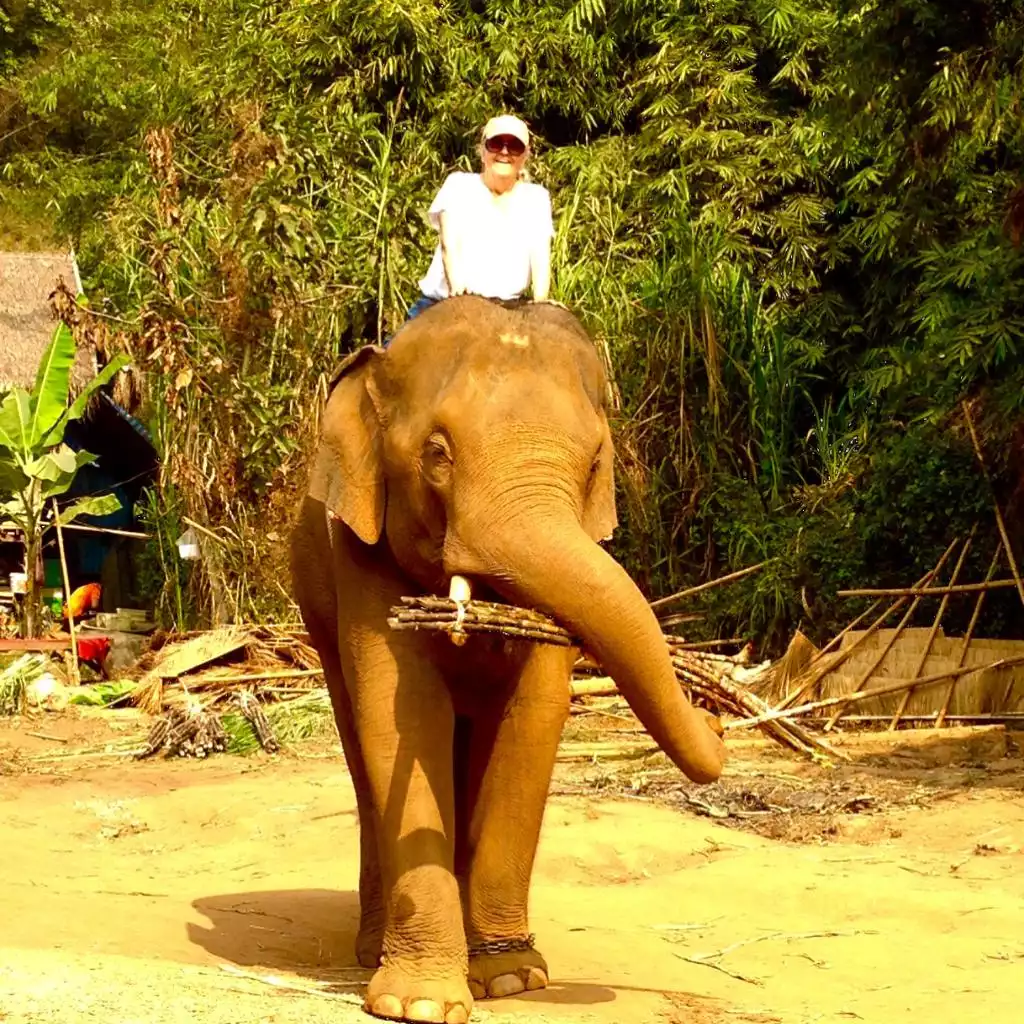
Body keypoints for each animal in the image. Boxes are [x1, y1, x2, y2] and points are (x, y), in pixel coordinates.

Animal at [289, 295, 726, 1024]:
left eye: (594, 463)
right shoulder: (358, 552)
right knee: (362, 745)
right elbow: (405, 712)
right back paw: (372, 950)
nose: (720, 723)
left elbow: (535, 714)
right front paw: (420, 1004)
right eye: (436, 455)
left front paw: (511, 980)